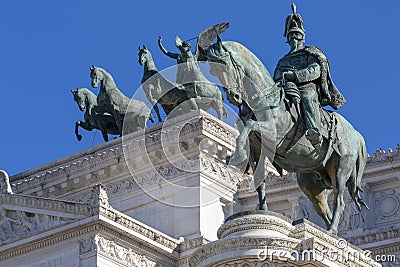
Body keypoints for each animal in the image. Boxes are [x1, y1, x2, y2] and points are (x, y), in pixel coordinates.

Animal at [208, 36, 368, 234]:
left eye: (225, 66)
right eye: (213, 70)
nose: (234, 97)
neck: (266, 100)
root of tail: (356, 134)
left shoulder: (274, 135)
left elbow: (249, 127)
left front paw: (236, 156)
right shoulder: (257, 149)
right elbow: (259, 180)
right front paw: (262, 208)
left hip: (341, 167)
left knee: (339, 199)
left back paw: (331, 230)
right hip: (311, 183)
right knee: (324, 209)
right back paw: (329, 231)